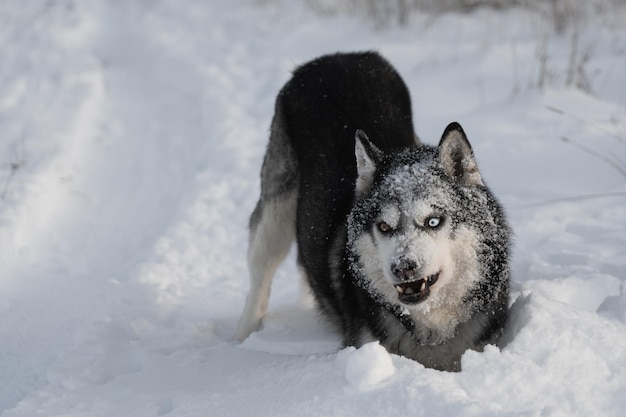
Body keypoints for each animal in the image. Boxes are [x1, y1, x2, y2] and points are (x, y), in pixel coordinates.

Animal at [236, 51, 510, 370]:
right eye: (384, 227)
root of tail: (337, 56)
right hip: (274, 218)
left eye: (433, 221)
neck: (429, 332)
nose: (403, 268)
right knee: (259, 280)